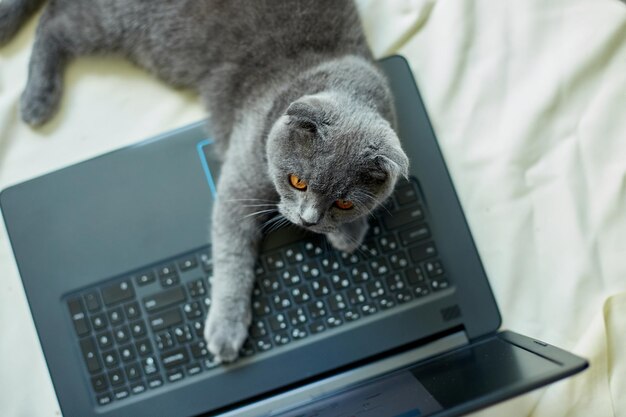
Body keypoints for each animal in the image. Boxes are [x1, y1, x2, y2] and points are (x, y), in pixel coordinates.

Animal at [0, 0, 408, 360]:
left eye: (343, 202)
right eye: (297, 181)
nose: (308, 220)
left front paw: (348, 233)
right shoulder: (237, 185)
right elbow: (231, 258)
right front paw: (226, 330)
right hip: (114, 19)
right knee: (54, 22)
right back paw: (36, 99)